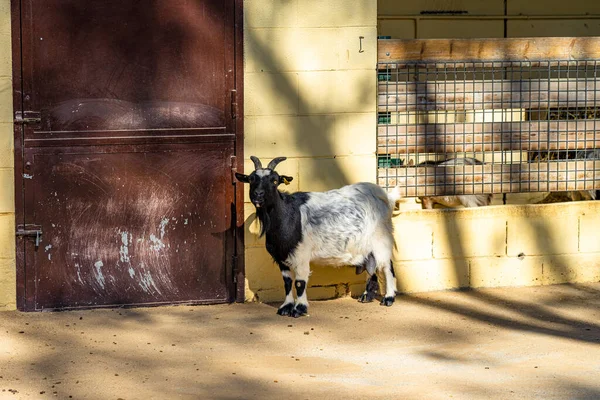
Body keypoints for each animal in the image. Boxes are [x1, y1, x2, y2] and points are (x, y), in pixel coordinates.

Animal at [237, 157, 400, 318]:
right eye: (251, 179)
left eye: (275, 180)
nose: (258, 194)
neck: (287, 216)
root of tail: (385, 196)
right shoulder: (281, 257)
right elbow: (287, 282)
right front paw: (285, 307)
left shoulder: (301, 255)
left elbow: (299, 283)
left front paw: (299, 309)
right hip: (367, 247)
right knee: (372, 266)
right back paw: (366, 296)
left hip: (381, 240)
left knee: (387, 266)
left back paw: (388, 298)